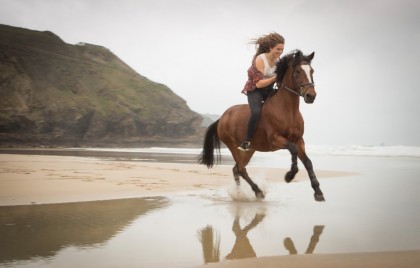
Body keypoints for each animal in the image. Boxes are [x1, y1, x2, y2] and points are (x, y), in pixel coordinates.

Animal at [199, 49, 324, 201]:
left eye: (312, 71)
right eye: (298, 71)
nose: (311, 96)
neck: (288, 110)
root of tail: (222, 118)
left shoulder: (299, 140)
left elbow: (308, 162)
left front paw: (318, 192)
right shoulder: (275, 139)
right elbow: (293, 150)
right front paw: (289, 176)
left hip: (249, 150)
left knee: (236, 169)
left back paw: (240, 193)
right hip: (232, 145)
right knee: (241, 169)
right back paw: (257, 191)